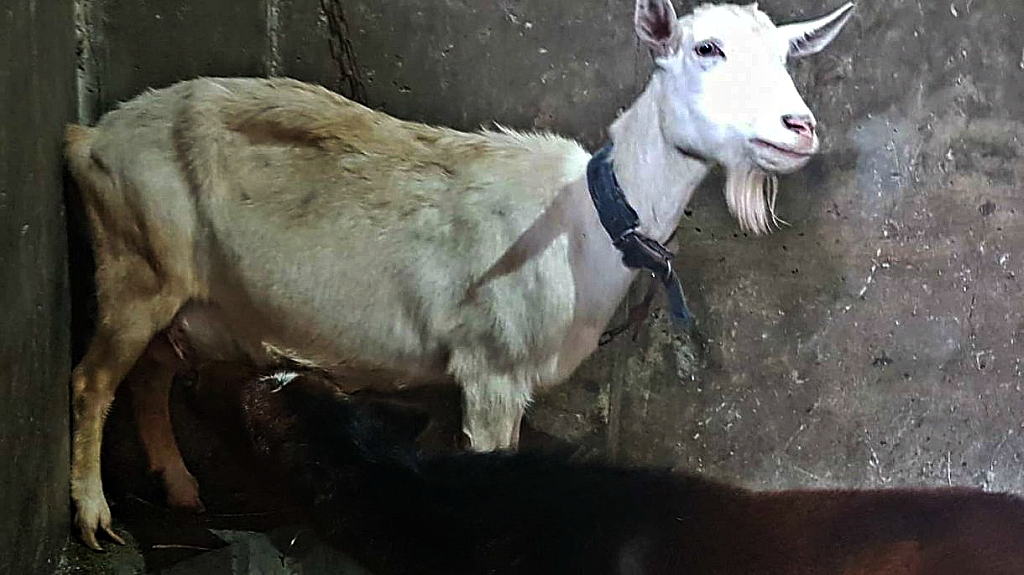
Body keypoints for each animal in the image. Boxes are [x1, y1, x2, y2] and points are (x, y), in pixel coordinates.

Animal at [66, 0, 856, 544]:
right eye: (705, 47)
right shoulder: (490, 368)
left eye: (787, 56)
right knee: (93, 381)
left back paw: (180, 488)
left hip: (181, 294)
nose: (800, 128)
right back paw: (95, 517)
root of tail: (89, 134)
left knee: (148, 377)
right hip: (134, 266)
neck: (583, 220)